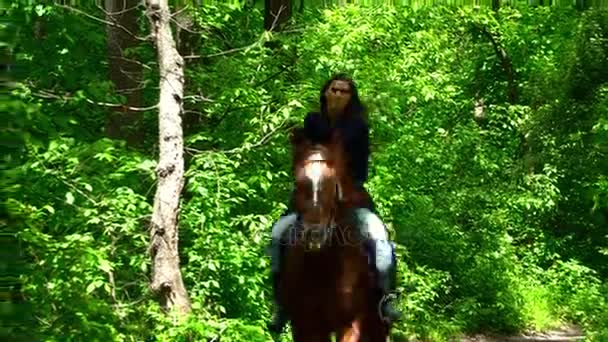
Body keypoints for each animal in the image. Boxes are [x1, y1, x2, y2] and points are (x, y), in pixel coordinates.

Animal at [276, 129, 390, 342]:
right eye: (297, 182)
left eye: (332, 183)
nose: (315, 233)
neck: (324, 266)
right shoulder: (306, 327)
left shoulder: (351, 326)